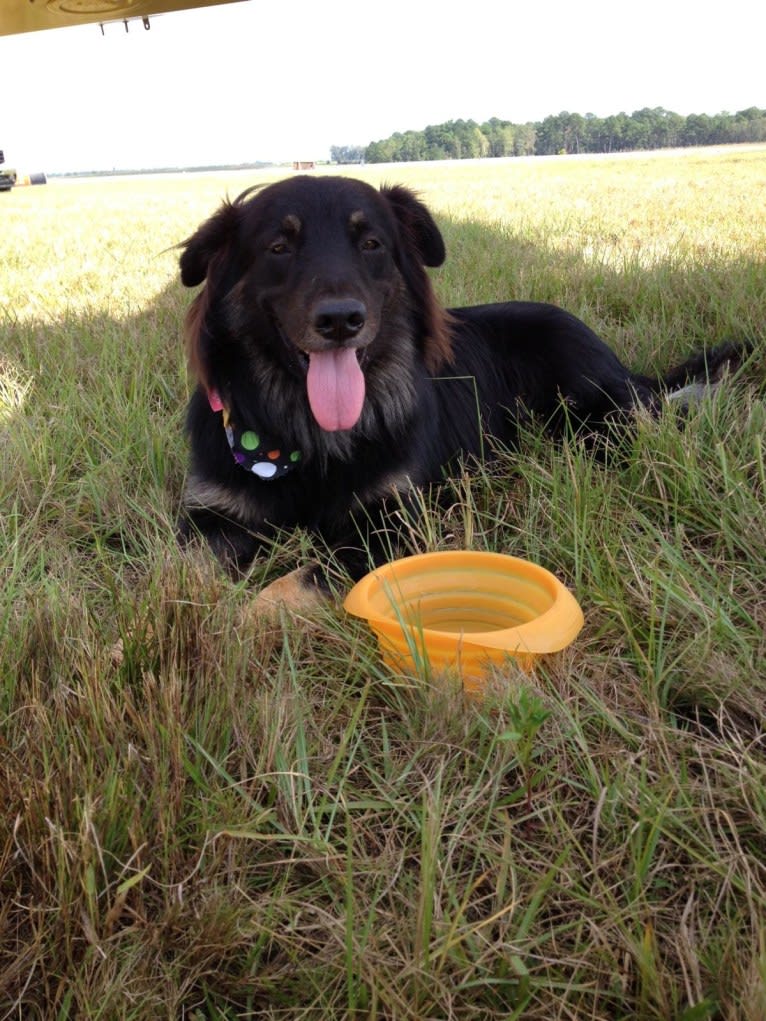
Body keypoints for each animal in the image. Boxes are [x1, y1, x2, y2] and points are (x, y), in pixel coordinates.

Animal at [178, 174, 743, 608]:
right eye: (278, 247)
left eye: (371, 244)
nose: (341, 320)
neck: (308, 435)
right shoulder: (211, 517)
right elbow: (181, 573)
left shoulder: (393, 522)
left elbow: (287, 589)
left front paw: (242, 624)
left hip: (596, 421)